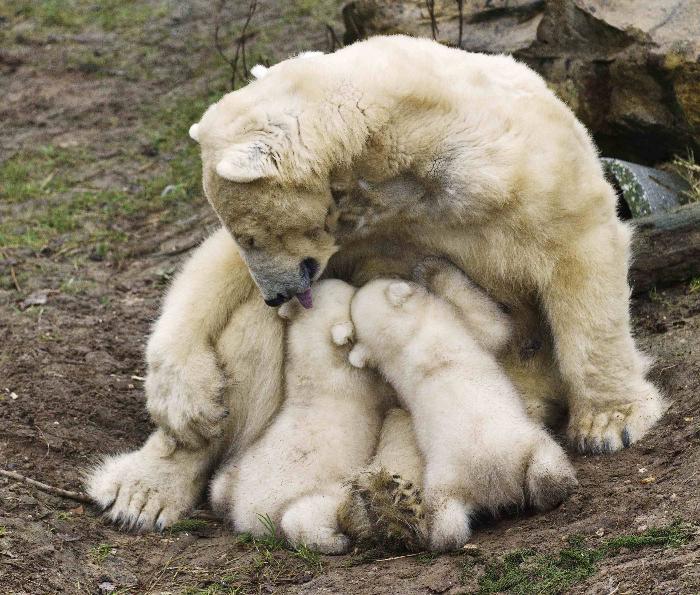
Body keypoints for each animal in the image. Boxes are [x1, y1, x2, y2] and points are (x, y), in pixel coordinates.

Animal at [208, 280, 394, 556]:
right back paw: (337, 540)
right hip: (324, 494)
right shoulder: (364, 386)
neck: (315, 372)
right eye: (350, 294)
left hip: (235, 473)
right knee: (302, 518)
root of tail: (249, 512)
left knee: (218, 488)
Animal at [344, 278, 576, 548]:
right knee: (546, 461)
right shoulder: (456, 323)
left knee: (448, 517)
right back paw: (557, 489)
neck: (408, 339)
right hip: (515, 447)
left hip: (451, 478)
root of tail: (493, 478)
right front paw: (434, 270)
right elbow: (493, 326)